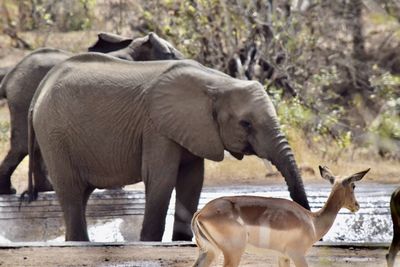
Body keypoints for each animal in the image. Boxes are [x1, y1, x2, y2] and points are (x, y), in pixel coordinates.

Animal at [0, 31, 183, 195]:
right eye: (170, 53)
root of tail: (9, 76)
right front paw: (115, 189)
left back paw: (45, 189)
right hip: (23, 98)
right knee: (23, 145)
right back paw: (11, 191)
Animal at [28, 52, 310, 243]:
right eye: (246, 123)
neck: (218, 82)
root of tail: (40, 89)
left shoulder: (194, 129)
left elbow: (192, 181)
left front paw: (183, 241)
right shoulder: (156, 127)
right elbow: (161, 179)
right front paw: (149, 243)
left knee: (80, 195)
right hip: (54, 135)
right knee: (72, 193)